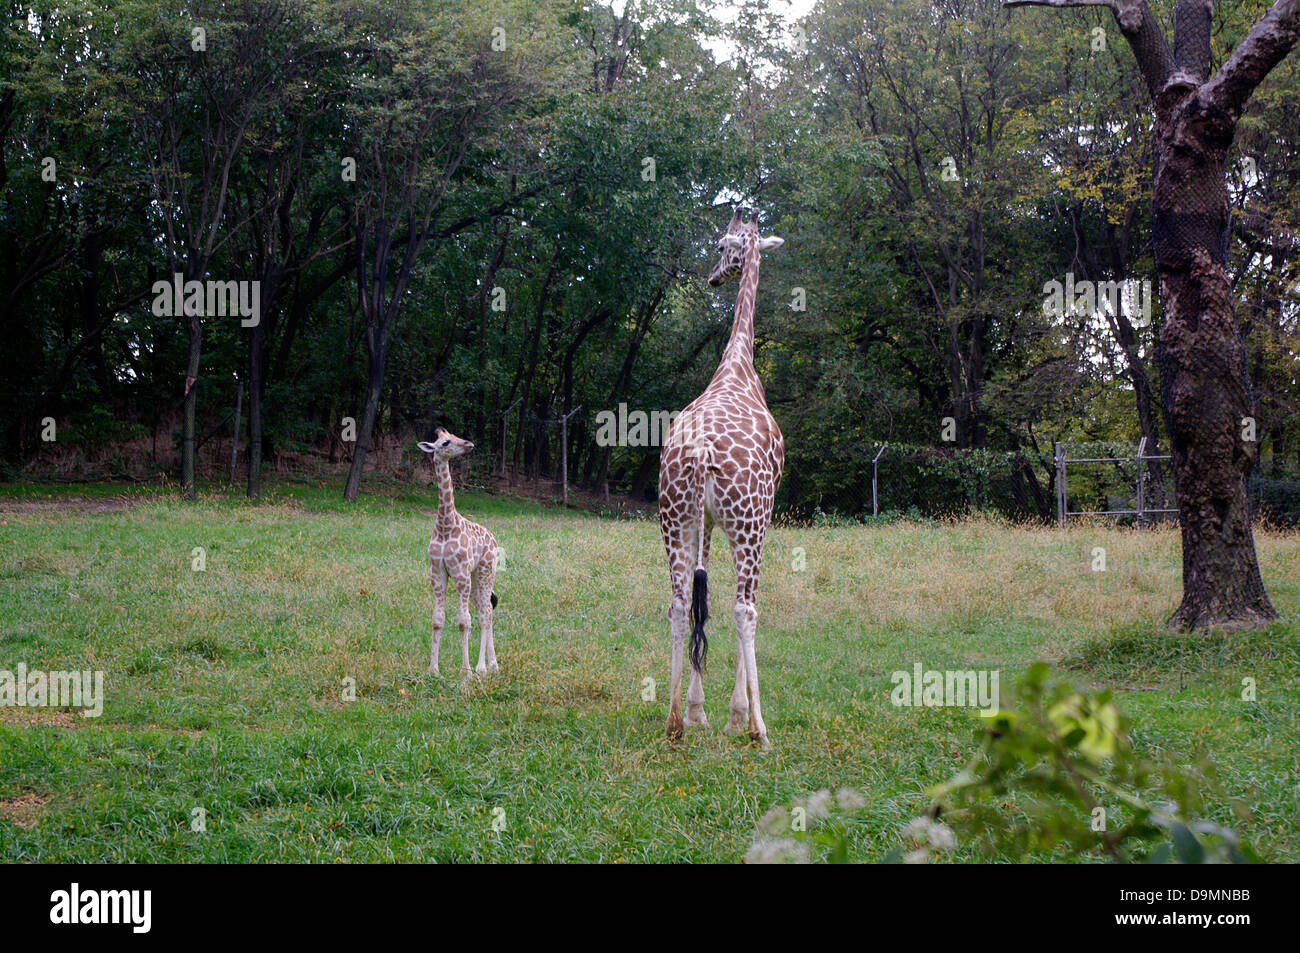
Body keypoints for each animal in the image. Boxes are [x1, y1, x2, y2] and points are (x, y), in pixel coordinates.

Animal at [418, 426, 499, 681]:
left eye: (454, 437)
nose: (469, 444)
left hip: (485, 571)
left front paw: (466, 672)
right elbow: (437, 620)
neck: (446, 525)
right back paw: (493, 666)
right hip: (474, 580)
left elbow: (464, 622)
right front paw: (433, 670)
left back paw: (483, 668)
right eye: (445, 442)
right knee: (485, 610)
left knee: (485, 613)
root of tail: (494, 539)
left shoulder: (460, 573)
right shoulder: (437, 573)